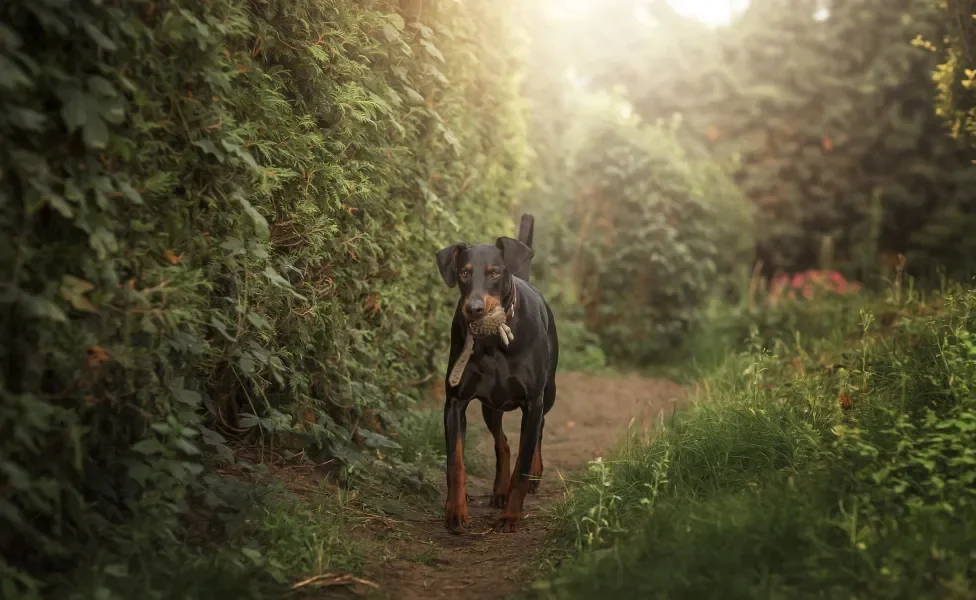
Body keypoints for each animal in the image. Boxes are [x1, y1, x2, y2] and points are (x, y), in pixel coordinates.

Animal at [432, 216, 560, 536]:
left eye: (494, 272)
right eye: (464, 272)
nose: (474, 309)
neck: (493, 343)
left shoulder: (532, 401)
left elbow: (522, 465)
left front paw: (512, 516)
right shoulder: (455, 402)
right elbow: (455, 463)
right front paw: (456, 511)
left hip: (548, 393)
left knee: (538, 431)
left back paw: (535, 475)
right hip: (491, 405)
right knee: (502, 443)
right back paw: (499, 490)